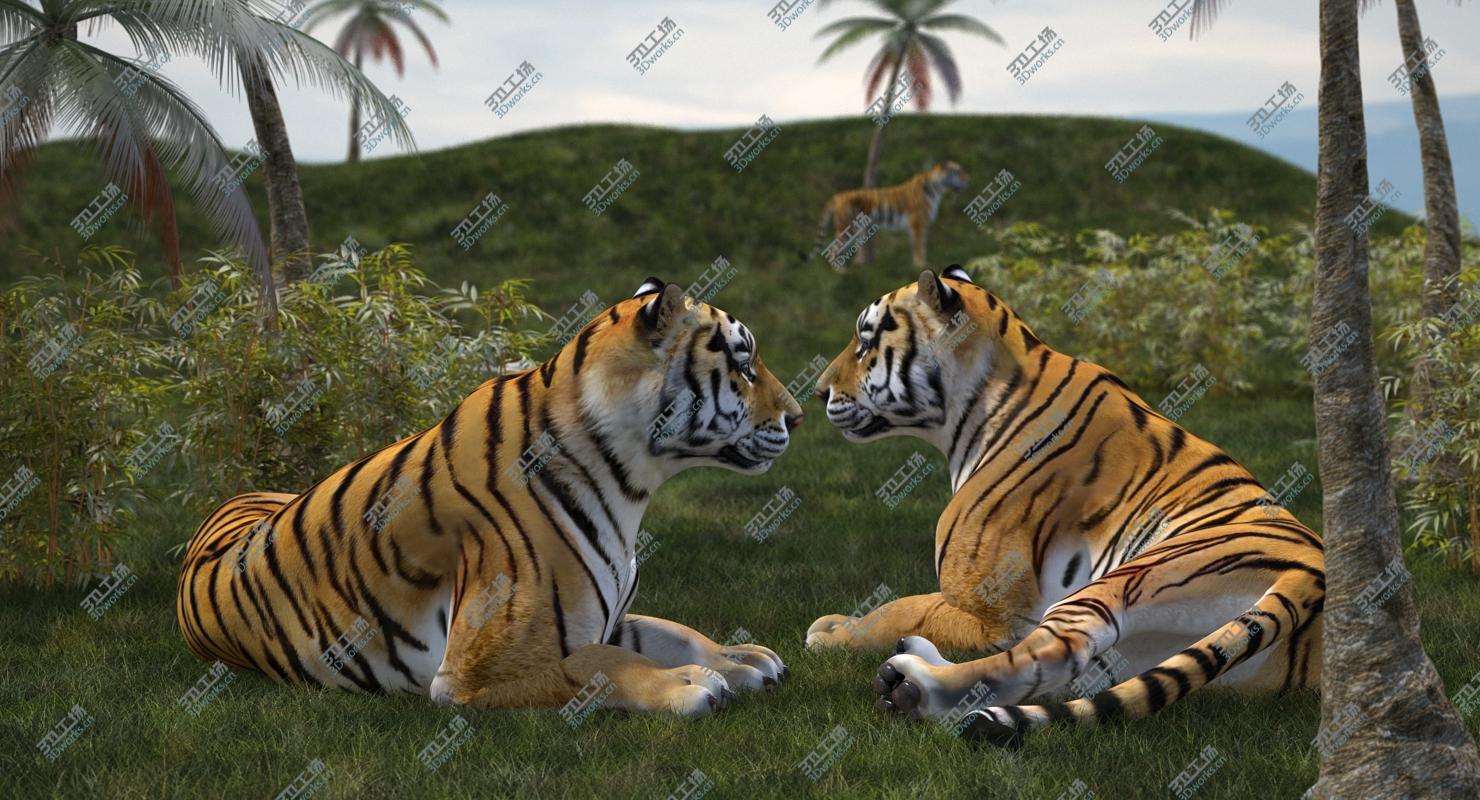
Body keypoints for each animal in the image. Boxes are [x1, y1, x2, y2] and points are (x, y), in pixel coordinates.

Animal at [176, 277, 803, 717]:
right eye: (744, 366)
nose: (797, 416)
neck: (631, 480)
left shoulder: (606, 618)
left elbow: (669, 632)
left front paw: (741, 659)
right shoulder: (479, 668)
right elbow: (600, 664)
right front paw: (692, 684)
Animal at [804, 265, 1325, 746]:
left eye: (865, 343)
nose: (818, 390)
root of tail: (1312, 580)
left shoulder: (996, 614)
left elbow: (909, 605)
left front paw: (832, 634)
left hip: (1129, 577)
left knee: (1052, 652)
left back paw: (910, 682)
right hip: (1135, 652)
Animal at [807, 161, 969, 270]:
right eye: (957, 172)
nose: (968, 179)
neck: (938, 188)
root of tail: (837, 196)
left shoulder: (918, 226)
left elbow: (918, 245)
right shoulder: (918, 223)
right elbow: (919, 246)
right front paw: (921, 265)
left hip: (857, 229)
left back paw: (860, 266)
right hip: (847, 228)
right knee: (833, 250)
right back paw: (842, 272)